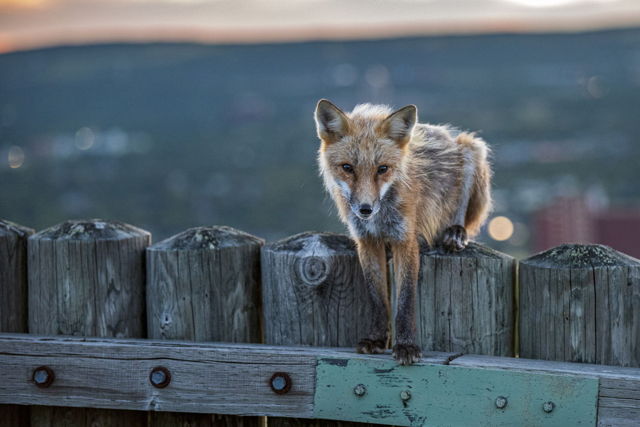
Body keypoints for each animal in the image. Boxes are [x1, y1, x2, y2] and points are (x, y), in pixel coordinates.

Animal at [314, 99, 492, 365]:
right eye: (347, 168)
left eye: (382, 169)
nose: (365, 209)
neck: (379, 220)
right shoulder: (366, 241)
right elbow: (377, 297)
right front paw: (376, 339)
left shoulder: (405, 238)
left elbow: (406, 299)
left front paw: (407, 345)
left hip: (472, 150)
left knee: (461, 208)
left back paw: (455, 232)